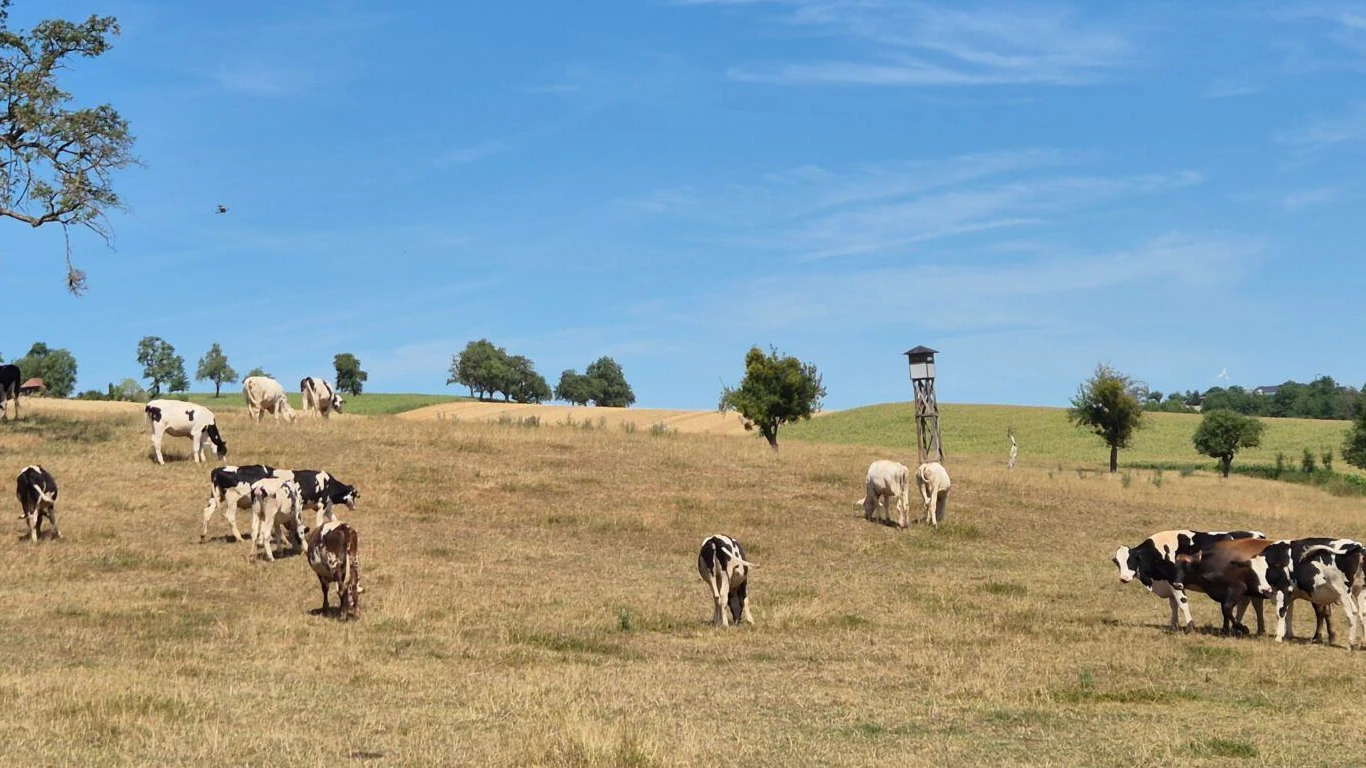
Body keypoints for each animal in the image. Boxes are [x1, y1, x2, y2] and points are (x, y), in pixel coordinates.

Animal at [1114, 530, 1265, 632]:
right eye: (1117, 562)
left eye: (1131, 560)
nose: (1124, 578)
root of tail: (1258, 535)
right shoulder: (1170, 585)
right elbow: (1173, 604)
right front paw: (1174, 625)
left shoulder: (1175, 583)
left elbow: (1182, 602)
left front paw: (1189, 626)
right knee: (1250, 603)